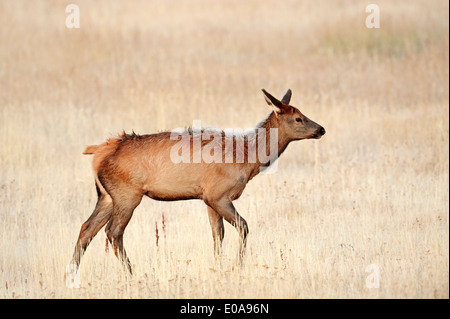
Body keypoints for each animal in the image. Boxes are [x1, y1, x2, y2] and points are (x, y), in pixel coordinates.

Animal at [67, 89, 326, 278]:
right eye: (298, 118)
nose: (321, 129)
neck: (247, 159)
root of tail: (99, 153)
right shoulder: (218, 194)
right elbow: (243, 226)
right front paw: (237, 266)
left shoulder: (208, 199)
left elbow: (217, 234)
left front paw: (219, 267)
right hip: (127, 194)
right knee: (113, 232)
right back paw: (132, 274)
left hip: (106, 196)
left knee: (86, 228)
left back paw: (71, 274)